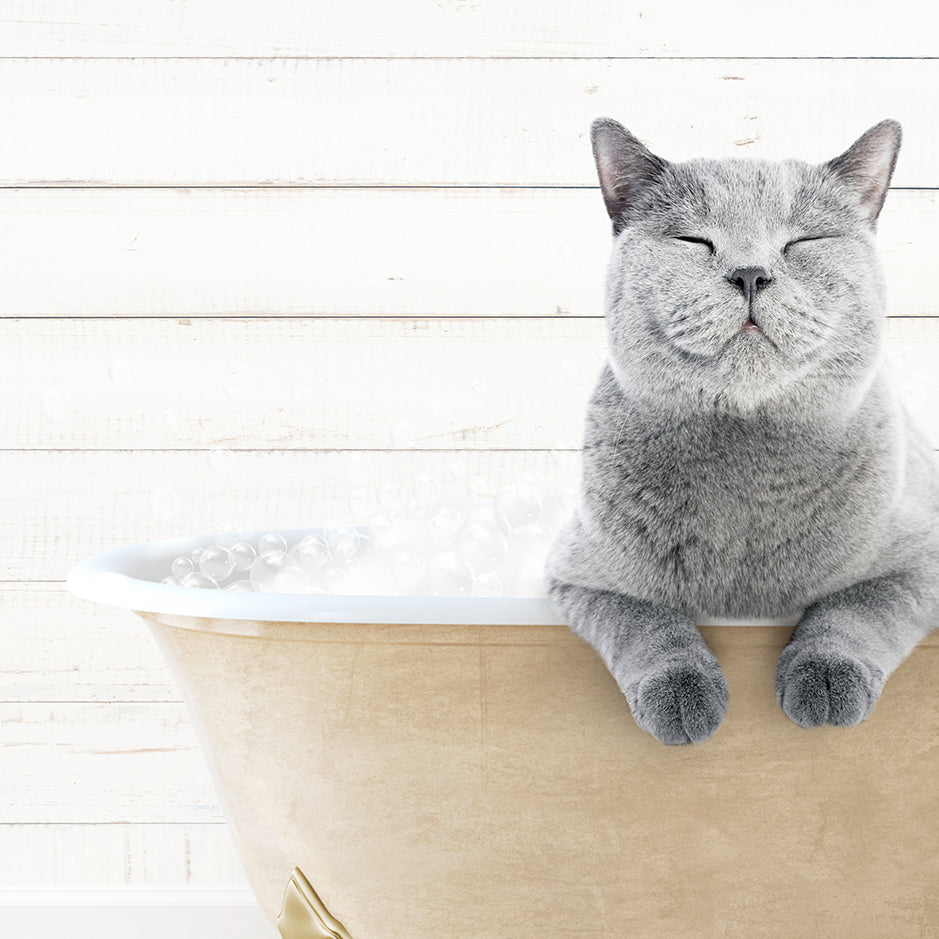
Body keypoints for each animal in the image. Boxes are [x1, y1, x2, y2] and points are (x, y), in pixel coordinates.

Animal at [548, 117, 936, 744]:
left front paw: (825, 681)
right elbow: (646, 619)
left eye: (803, 242)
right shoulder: (580, 575)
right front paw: (683, 696)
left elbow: (856, 607)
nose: (751, 273)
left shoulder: (922, 557)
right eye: (694, 242)